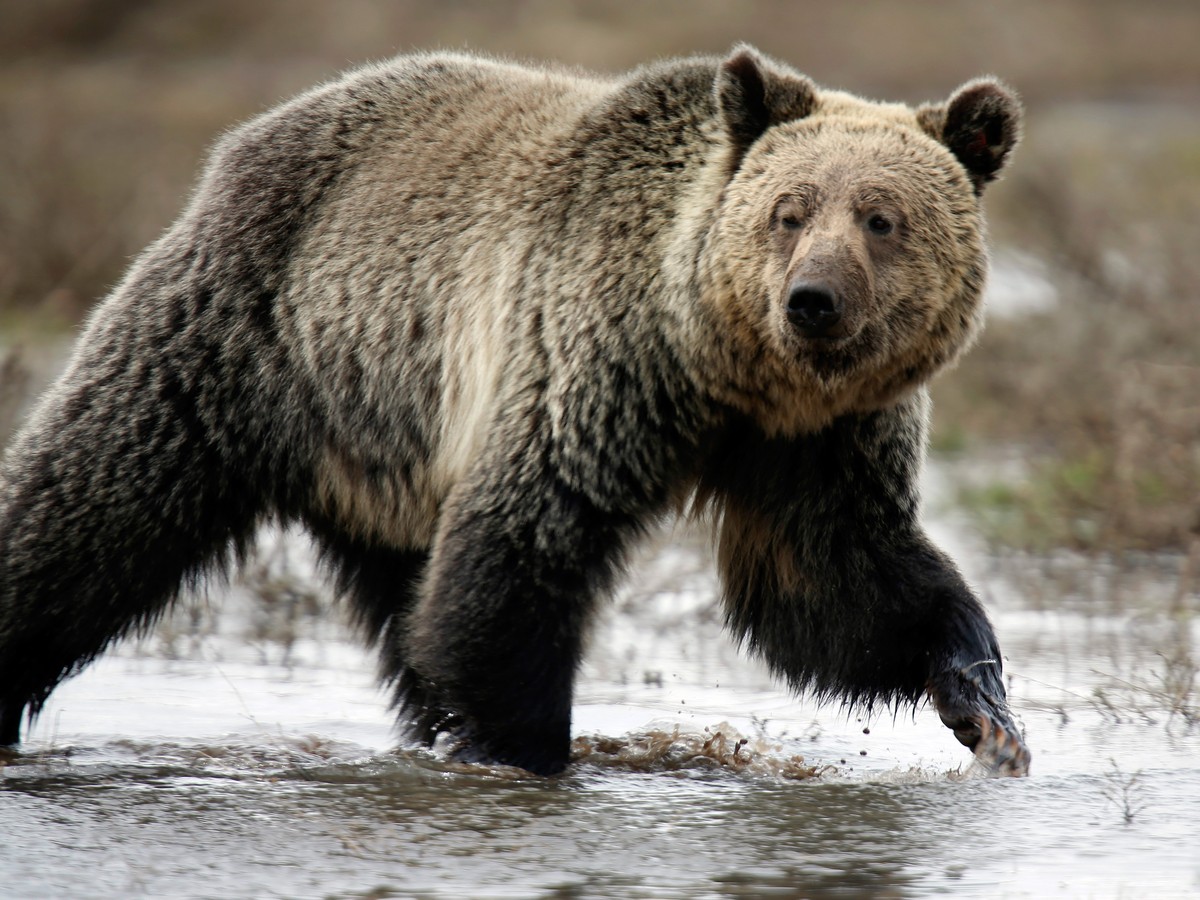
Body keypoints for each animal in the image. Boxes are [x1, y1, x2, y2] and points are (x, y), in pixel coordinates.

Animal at [2, 45, 1032, 777]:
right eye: (790, 209)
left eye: (881, 218)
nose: (813, 300)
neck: (726, 370)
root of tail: (250, 138)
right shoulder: (595, 363)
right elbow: (523, 545)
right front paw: (522, 750)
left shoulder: (820, 440)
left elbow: (835, 581)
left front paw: (983, 703)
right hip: (244, 338)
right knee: (94, 507)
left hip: (388, 446)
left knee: (406, 600)